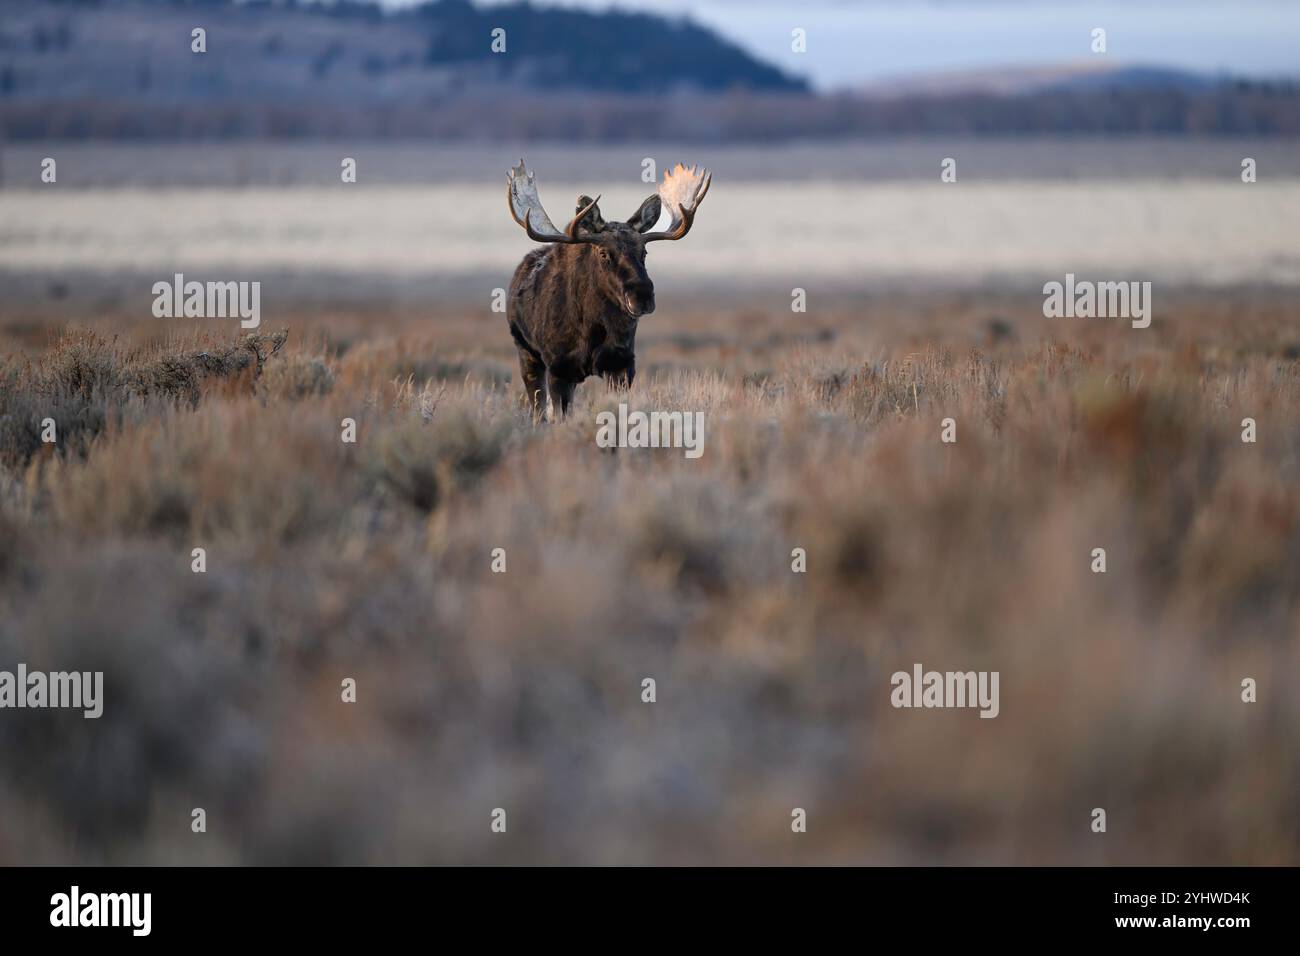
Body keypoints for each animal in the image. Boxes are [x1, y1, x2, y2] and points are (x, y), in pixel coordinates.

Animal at [504, 160, 712, 418]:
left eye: (644, 252)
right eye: (604, 254)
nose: (641, 296)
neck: (590, 328)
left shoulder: (622, 366)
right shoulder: (558, 368)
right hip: (526, 353)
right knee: (538, 410)